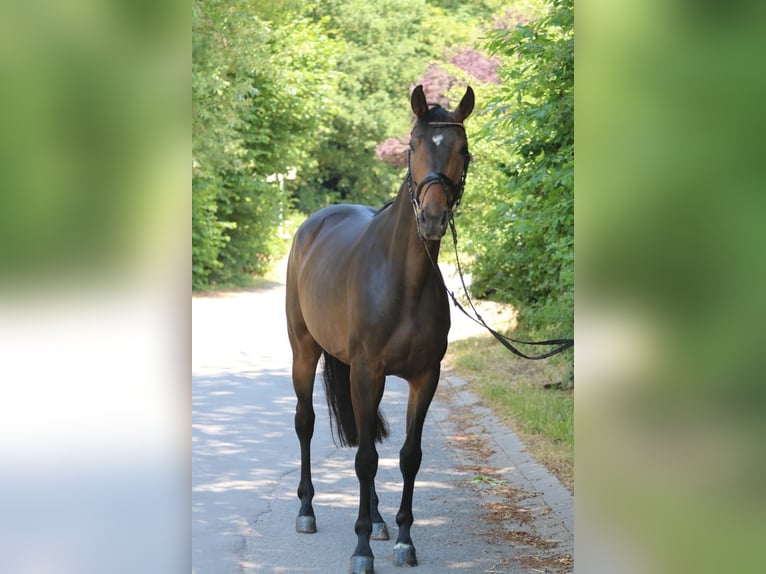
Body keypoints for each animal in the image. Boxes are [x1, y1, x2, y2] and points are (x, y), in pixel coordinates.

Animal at [284, 85, 472, 574]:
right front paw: (362, 548)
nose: (432, 218)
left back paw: (380, 518)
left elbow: (408, 456)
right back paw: (306, 510)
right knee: (306, 423)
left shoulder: (424, 377)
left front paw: (404, 540)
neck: (402, 279)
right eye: (413, 145)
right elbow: (366, 459)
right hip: (304, 352)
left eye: (462, 149)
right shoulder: (366, 372)